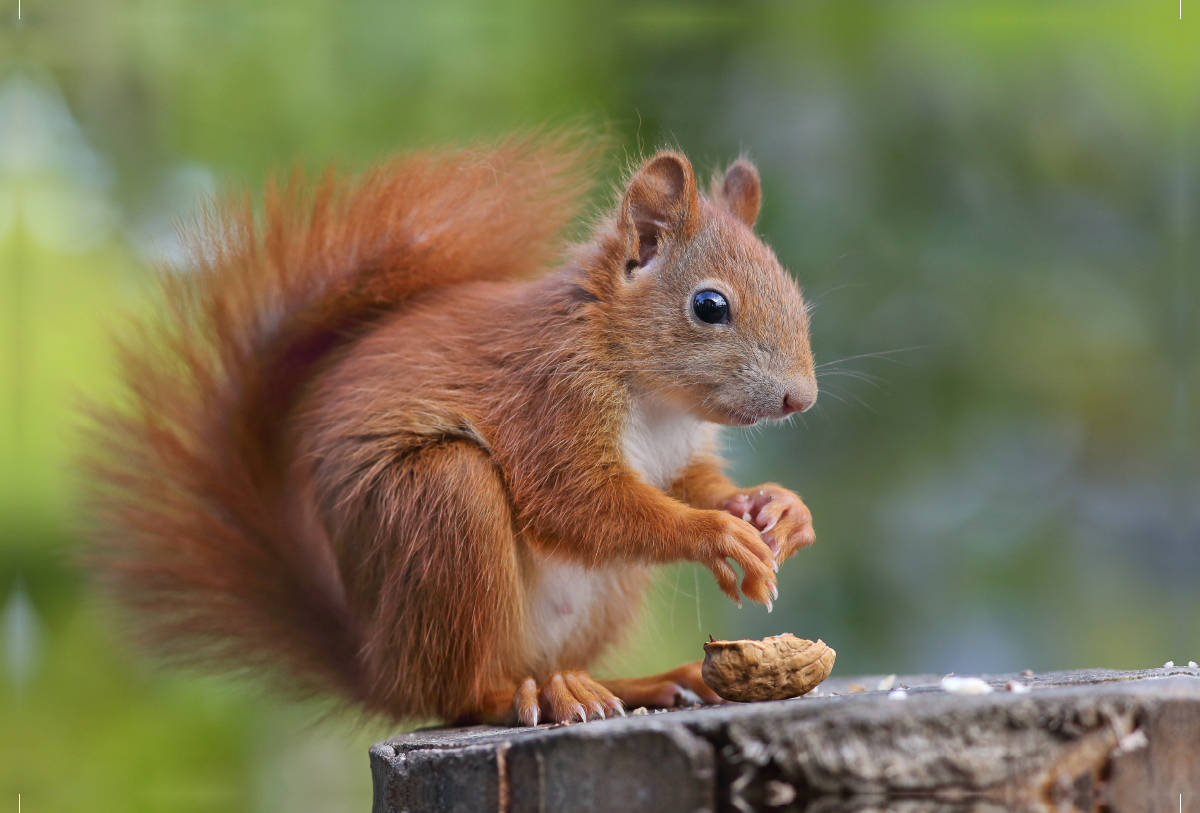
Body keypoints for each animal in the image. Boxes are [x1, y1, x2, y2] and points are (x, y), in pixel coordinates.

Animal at [82, 133, 816, 724]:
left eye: (796, 294)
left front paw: (778, 510)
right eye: (709, 306)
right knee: (459, 694)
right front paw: (718, 533)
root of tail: (382, 665)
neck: (653, 393)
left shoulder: (676, 453)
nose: (800, 398)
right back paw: (528, 696)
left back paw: (633, 683)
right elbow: (575, 502)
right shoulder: (548, 401)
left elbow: (694, 482)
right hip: (441, 506)